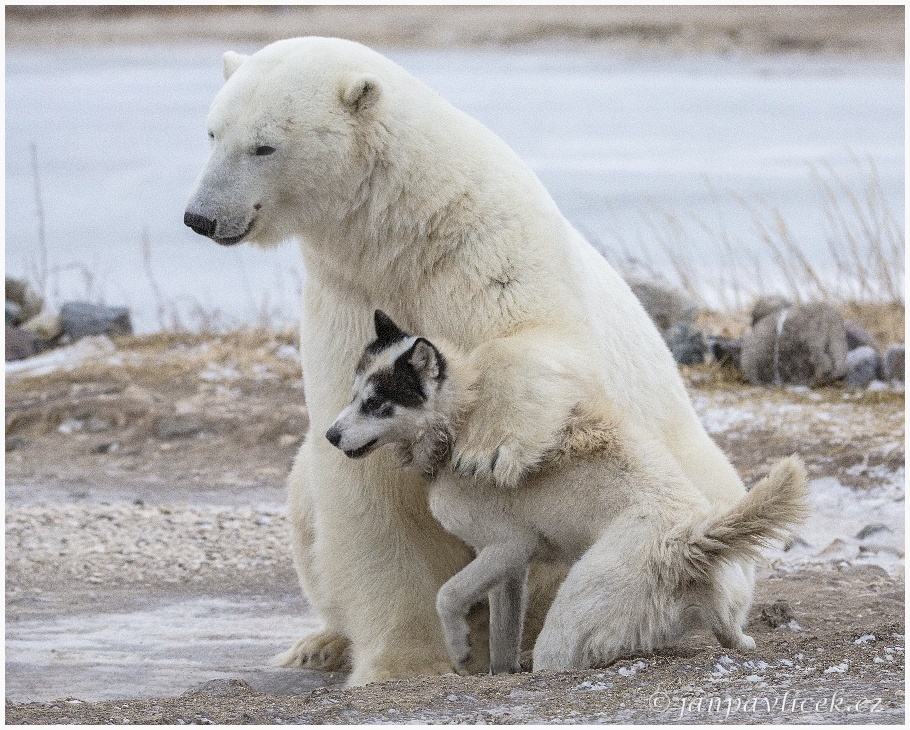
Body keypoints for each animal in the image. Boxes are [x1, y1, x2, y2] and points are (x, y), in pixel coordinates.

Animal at [187, 37, 748, 684]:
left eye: (264, 144)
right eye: (211, 132)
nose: (200, 216)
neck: (405, 229)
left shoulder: (484, 246)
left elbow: (536, 334)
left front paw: (491, 449)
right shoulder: (346, 297)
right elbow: (374, 498)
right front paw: (406, 663)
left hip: (685, 469)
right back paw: (320, 643)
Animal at [330, 310, 812, 672]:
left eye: (376, 403)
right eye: (353, 395)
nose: (331, 436)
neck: (458, 419)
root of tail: (686, 542)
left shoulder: (508, 546)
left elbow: (446, 595)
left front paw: (460, 648)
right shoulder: (511, 567)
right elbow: (502, 637)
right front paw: (499, 671)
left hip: (566, 628)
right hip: (723, 611)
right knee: (733, 637)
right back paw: (739, 639)